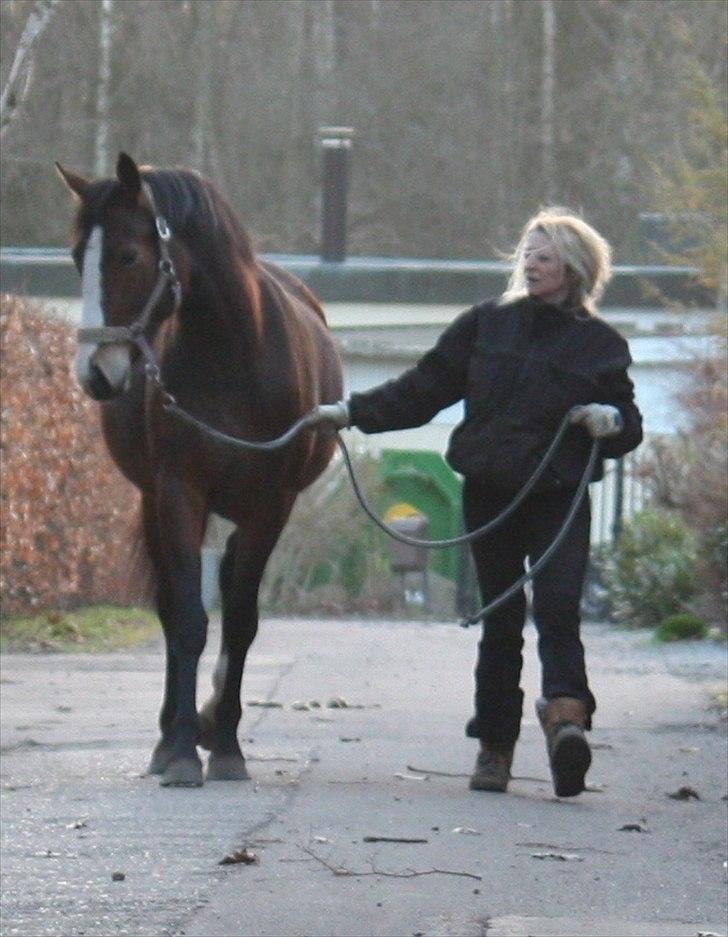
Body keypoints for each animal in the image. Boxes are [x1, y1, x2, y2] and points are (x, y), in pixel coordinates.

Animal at [57, 152, 344, 784]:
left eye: (128, 255)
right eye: (75, 257)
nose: (94, 372)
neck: (232, 355)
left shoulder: (270, 506)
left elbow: (241, 621)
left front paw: (228, 745)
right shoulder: (177, 494)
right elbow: (188, 618)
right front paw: (184, 749)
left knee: (233, 584)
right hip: (154, 503)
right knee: (171, 609)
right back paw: (171, 737)